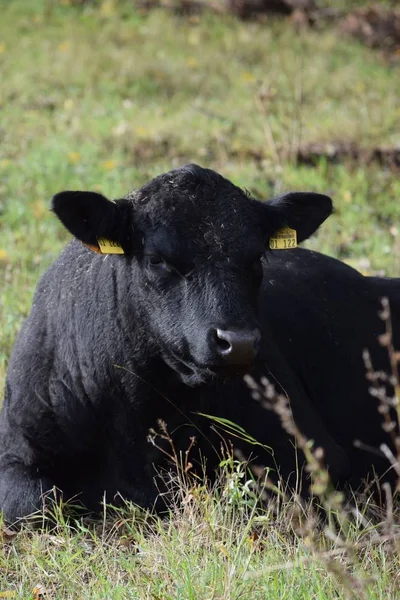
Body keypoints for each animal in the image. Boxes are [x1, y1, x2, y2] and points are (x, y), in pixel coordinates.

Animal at [0, 165, 400, 524]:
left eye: (257, 257)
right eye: (157, 259)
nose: (239, 342)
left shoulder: (315, 452)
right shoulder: (15, 449)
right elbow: (33, 505)